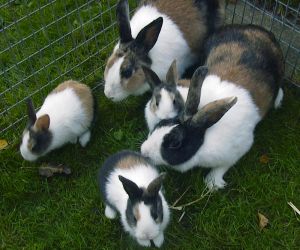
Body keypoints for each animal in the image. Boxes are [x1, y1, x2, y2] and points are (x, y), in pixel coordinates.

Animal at [141, 24, 284, 190]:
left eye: (175, 143)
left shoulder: (239, 148)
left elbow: (223, 166)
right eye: (160, 125)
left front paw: (212, 183)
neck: (204, 136)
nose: (144, 151)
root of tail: (256, 28)